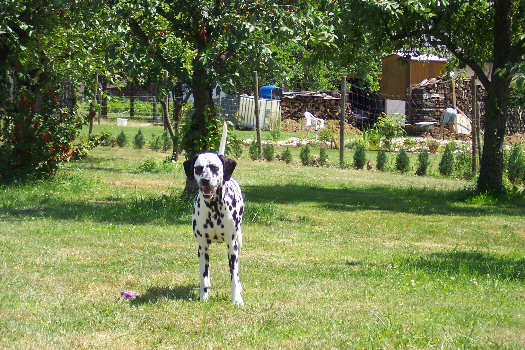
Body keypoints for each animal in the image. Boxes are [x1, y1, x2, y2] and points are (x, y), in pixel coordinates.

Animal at [183, 152, 245, 304]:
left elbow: (234, 276)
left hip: (239, 242)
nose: (205, 180)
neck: (214, 207)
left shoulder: (232, 247)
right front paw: (204, 297)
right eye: (198, 168)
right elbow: (204, 276)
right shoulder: (202, 248)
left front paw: (236, 299)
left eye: (214, 167)